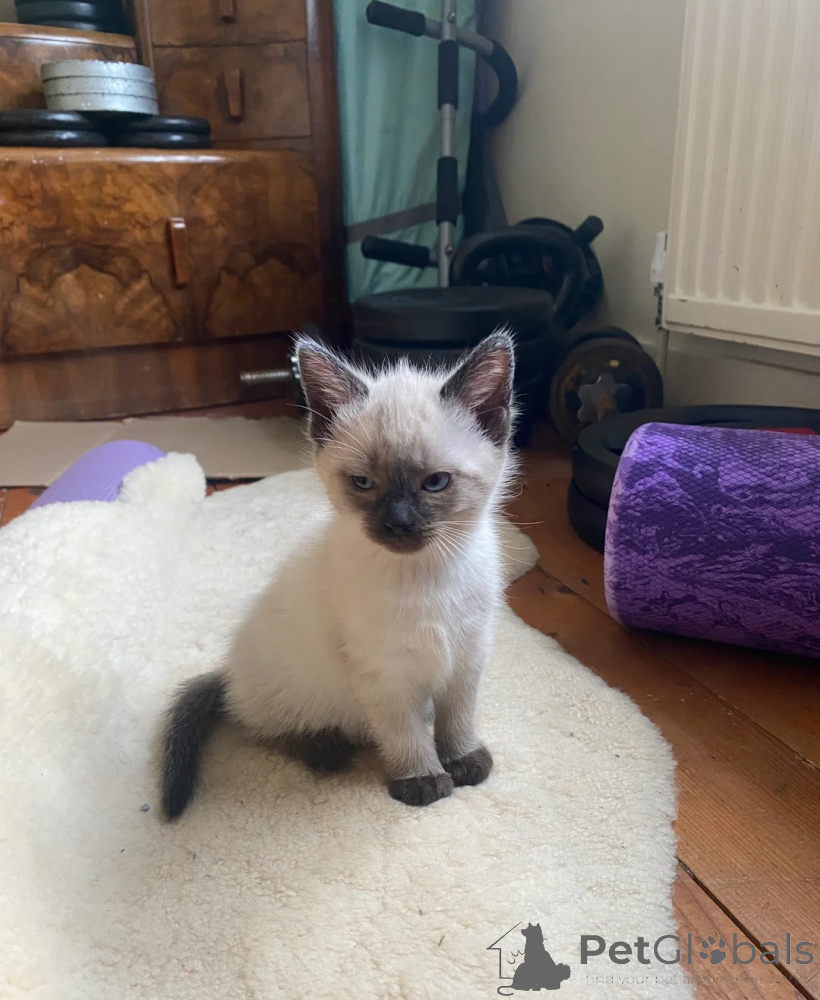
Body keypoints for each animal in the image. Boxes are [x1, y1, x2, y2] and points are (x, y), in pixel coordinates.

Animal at [160, 329, 517, 819]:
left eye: (436, 483)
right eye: (363, 484)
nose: (398, 524)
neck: (426, 573)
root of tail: (228, 672)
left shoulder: (467, 656)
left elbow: (458, 718)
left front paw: (463, 760)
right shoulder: (383, 674)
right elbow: (403, 733)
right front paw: (422, 779)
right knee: (261, 727)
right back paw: (325, 750)